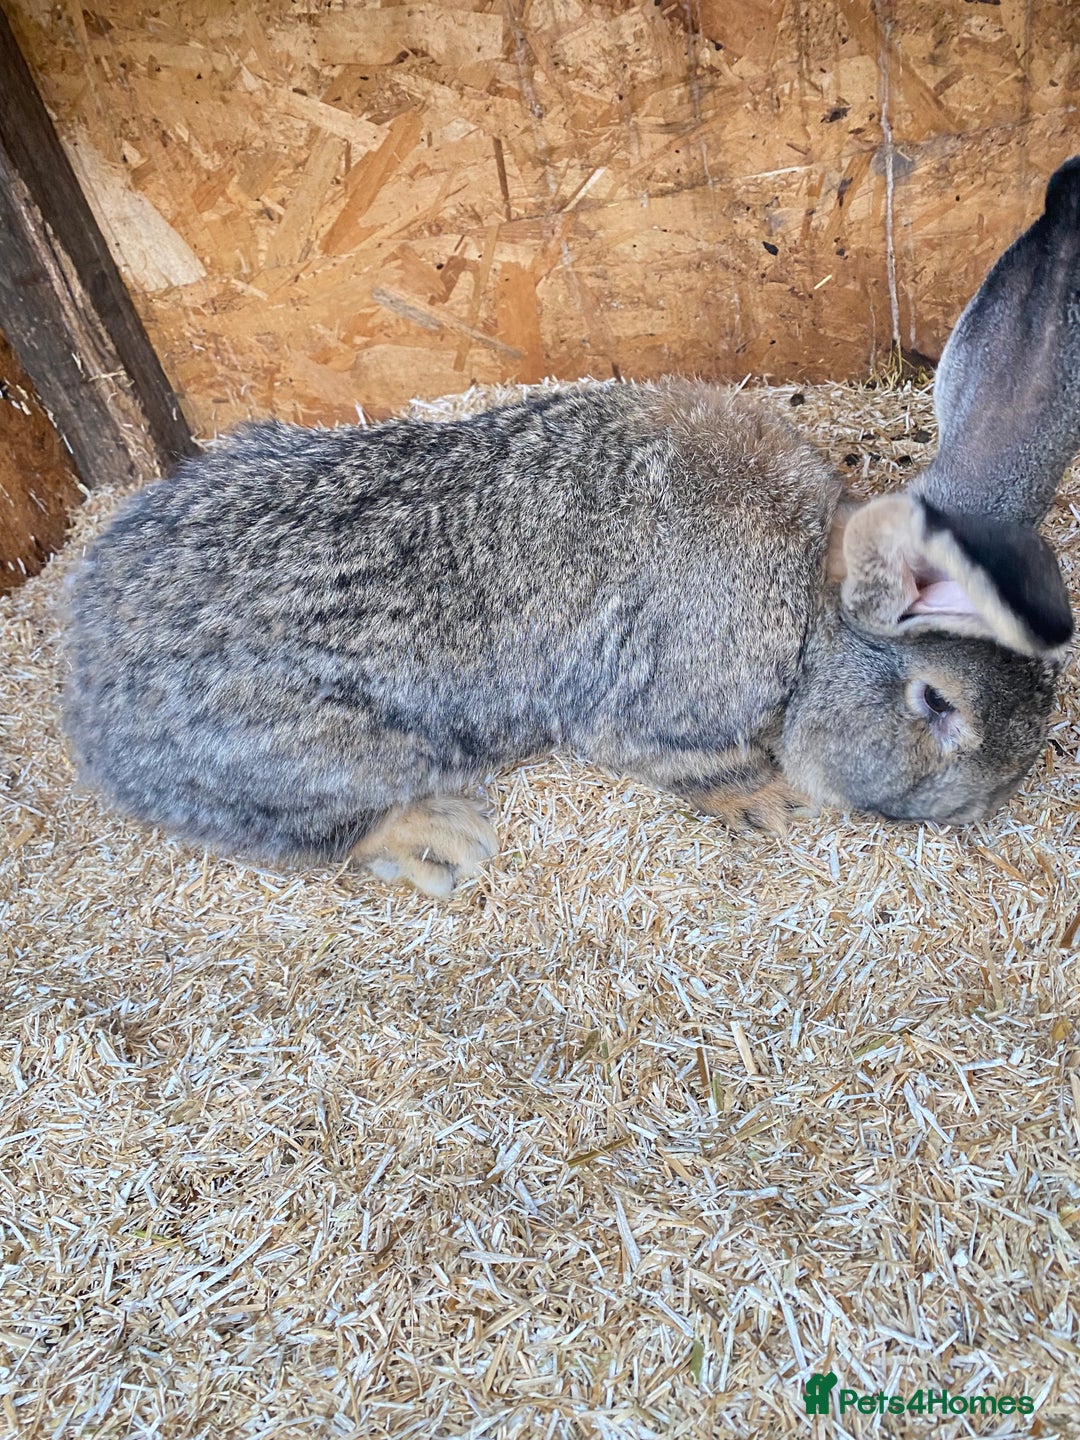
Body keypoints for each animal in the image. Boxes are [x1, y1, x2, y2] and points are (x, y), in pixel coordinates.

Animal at [62, 158, 1079, 896]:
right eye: (936, 702)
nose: (969, 810)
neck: (805, 602)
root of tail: (87, 700)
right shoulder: (665, 709)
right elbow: (678, 762)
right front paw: (766, 803)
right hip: (319, 756)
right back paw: (442, 836)